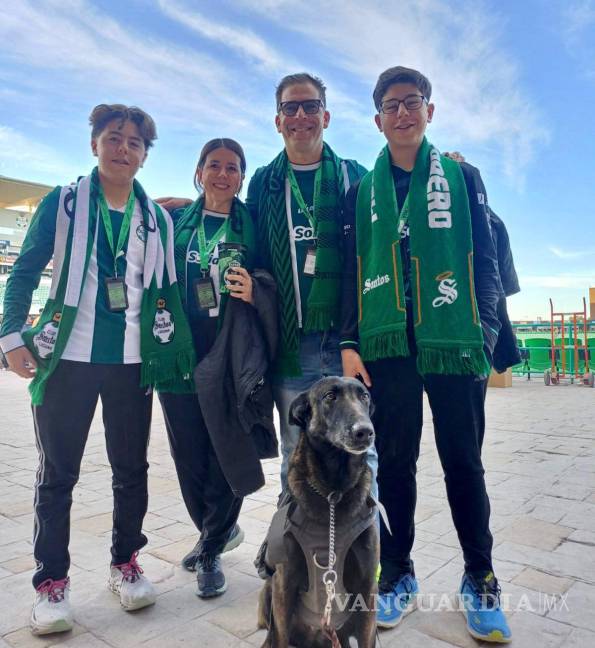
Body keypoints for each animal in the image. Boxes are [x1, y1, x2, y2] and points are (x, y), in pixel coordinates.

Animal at [258, 374, 380, 648]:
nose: (365, 431)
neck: (333, 493)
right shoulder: (284, 583)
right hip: (268, 592)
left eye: (365, 396)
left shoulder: (368, 589)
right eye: (330, 397)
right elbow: (280, 637)